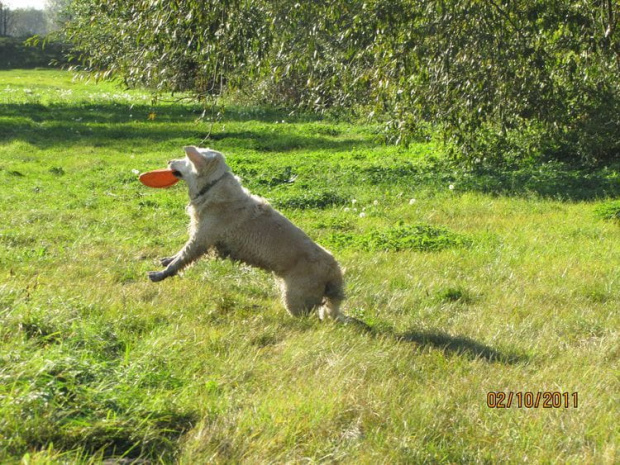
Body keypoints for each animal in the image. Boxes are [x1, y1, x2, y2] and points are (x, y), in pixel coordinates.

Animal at [148, 147, 346, 320]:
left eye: (185, 159)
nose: (169, 161)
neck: (213, 186)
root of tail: (334, 271)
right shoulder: (199, 235)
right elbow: (179, 255)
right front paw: (167, 259)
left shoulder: (202, 237)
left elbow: (182, 258)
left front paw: (160, 274)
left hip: (296, 299)